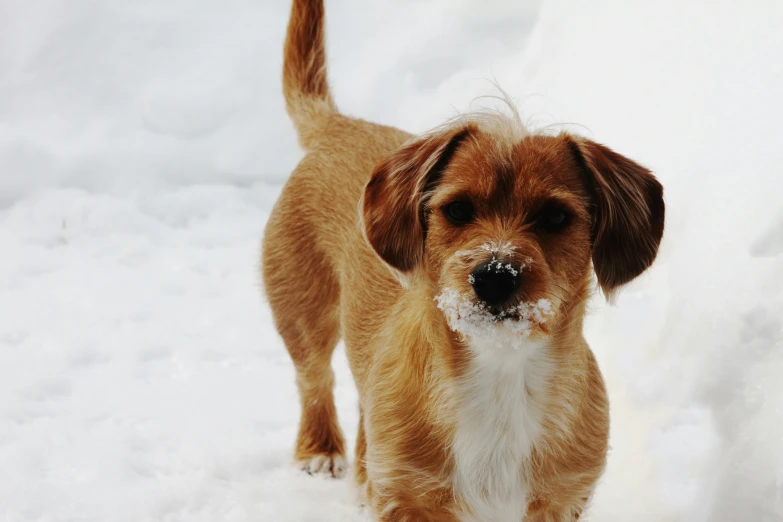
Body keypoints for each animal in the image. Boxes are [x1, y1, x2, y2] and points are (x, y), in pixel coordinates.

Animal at [264, 2, 668, 516]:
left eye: (556, 216)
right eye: (457, 209)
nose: (494, 276)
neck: (501, 374)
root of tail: (337, 124)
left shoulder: (559, 500)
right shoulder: (409, 501)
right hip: (302, 313)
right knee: (313, 380)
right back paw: (319, 451)